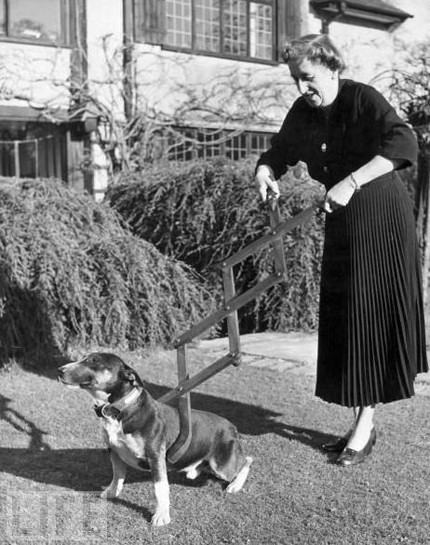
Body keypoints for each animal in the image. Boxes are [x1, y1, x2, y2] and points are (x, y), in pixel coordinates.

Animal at [57, 352, 252, 528]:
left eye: (93, 361)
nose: (60, 370)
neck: (121, 409)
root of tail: (232, 427)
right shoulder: (114, 451)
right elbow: (117, 475)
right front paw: (111, 492)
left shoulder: (155, 456)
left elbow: (160, 488)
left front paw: (161, 515)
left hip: (222, 465)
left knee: (247, 460)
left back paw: (235, 485)